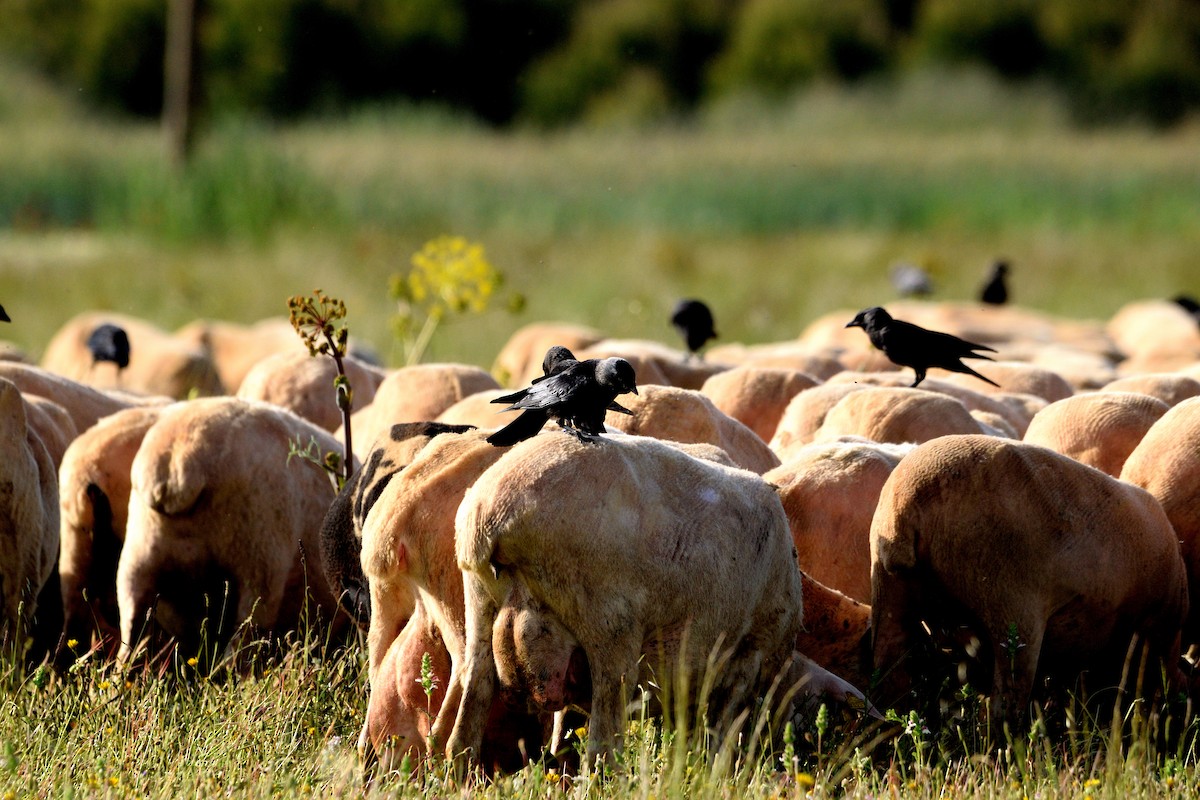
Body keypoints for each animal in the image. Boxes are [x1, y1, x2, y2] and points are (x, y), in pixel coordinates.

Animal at [441, 434, 806, 772]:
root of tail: (495, 512)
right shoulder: (750, 652)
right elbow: (720, 741)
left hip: (479, 601)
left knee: (466, 722)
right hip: (608, 620)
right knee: (602, 747)